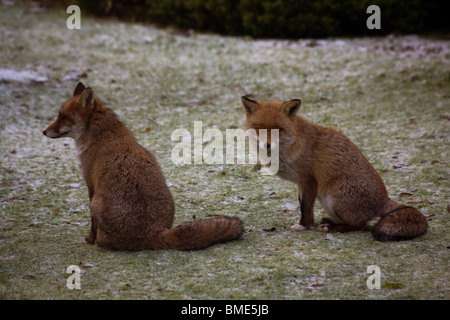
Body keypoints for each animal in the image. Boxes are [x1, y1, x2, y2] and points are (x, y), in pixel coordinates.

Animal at [41, 83, 244, 250]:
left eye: (63, 117)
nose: (43, 131)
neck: (101, 134)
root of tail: (153, 233)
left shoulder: (90, 186)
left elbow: (92, 225)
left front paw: (89, 240)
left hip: (96, 203)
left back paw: (100, 242)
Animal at [243, 96, 428, 241]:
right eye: (259, 128)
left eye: (278, 129)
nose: (267, 145)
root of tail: (383, 199)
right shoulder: (301, 183)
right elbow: (305, 205)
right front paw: (308, 222)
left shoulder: (308, 180)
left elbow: (305, 207)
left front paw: (303, 226)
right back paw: (328, 222)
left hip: (331, 199)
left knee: (358, 226)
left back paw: (330, 228)